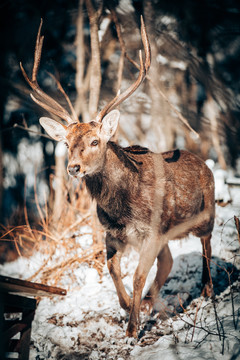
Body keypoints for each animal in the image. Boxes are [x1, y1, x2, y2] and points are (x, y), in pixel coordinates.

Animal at [21, 16, 216, 338]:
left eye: (95, 141)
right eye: (67, 143)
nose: (73, 167)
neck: (123, 208)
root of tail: (205, 163)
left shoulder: (152, 231)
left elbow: (137, 275)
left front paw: (133, 328)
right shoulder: (111, 233)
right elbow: (113, 269)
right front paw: (127, 307)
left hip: (206, 213)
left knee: (206, 246)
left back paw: (207, 289)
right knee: (168, 261)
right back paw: (150, 301)